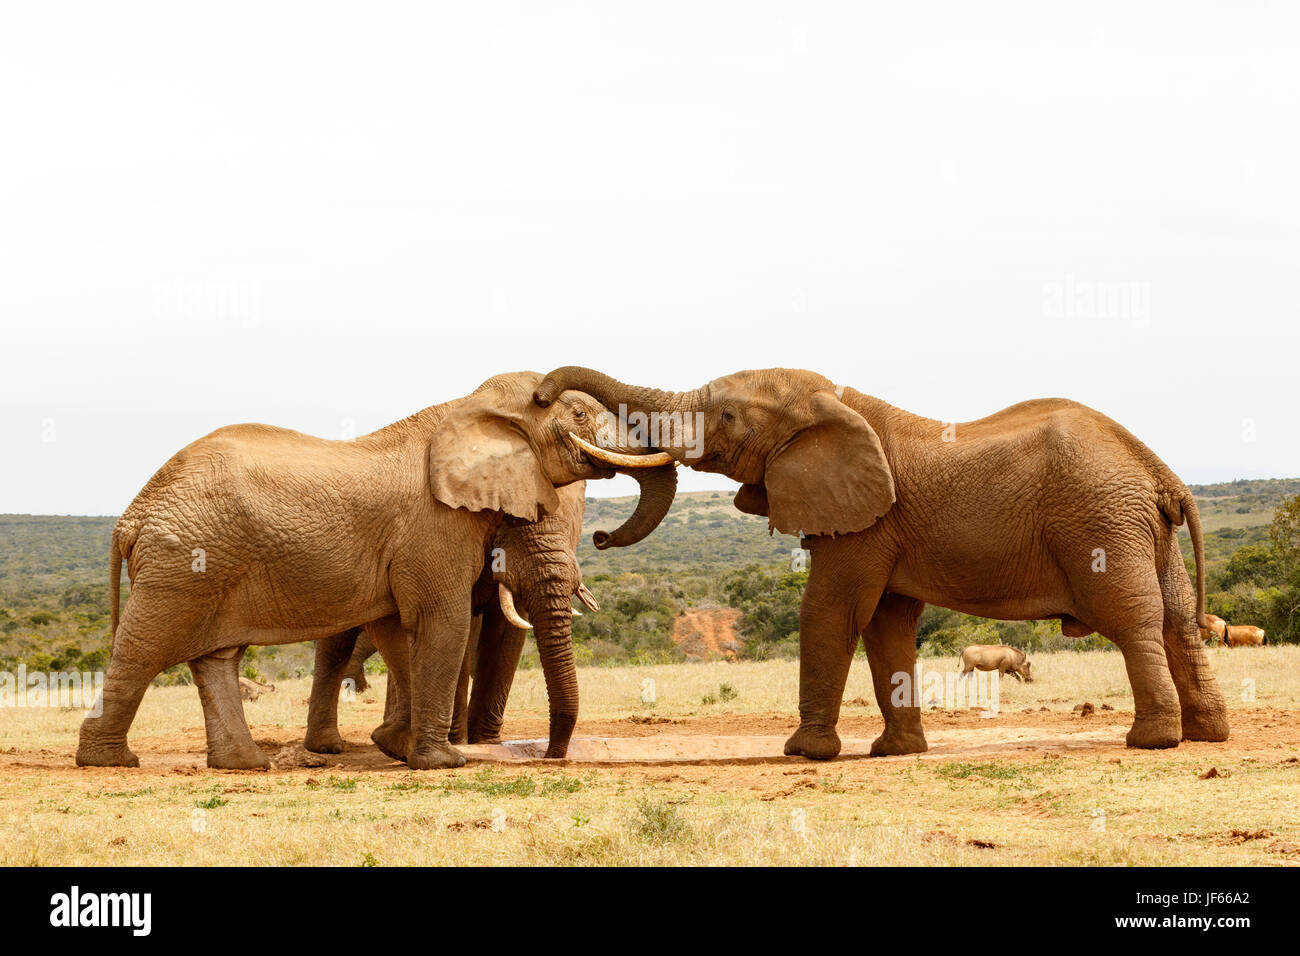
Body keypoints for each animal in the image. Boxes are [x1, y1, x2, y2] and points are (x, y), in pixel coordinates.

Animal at [76, 371, 674, 770]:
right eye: (578, 416)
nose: (551, 756)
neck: (473, 406)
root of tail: (131, 515)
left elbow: (399, 630)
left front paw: (398, 748)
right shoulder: (436, 526)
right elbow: (441, 621)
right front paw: (441, 761)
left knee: (215, 658)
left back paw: (244, 765)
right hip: (182, 561)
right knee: (145, 648)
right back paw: (110, 761)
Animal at [532, 366, 1230, 757]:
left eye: (726, 415)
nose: (540, 395)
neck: (836, 401)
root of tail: (1160, 470)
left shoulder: (864, 523)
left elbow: (832, 612)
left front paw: (803, 753)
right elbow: (887, 625)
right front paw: (892, 753)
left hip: (1101, 521)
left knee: (1133, 620)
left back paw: (1152, 741)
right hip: (1142, 528)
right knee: (1176, 623)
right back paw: (1207, 737)